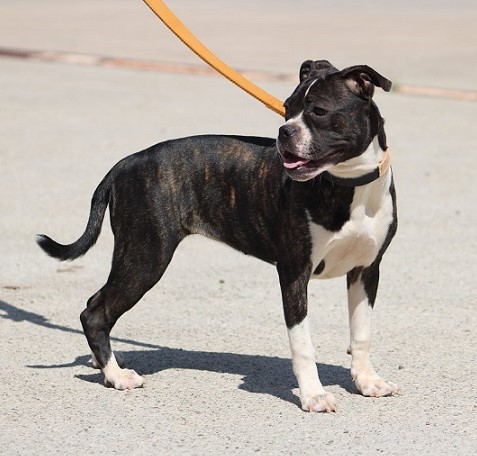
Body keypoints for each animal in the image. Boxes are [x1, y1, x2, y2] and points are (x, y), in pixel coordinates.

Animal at [37, 60, 398, 412]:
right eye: (287, 109)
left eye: (319, 111)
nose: (284, 131)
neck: (348, 185)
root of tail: (123, 165)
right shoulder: (295, 272)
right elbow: (303, 343)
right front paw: (313, 395)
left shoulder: (366, 271)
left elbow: (361, 332)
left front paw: (368, 381)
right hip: (144, 257)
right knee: (95, 312)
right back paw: (116, 375)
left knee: (96, 306)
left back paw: (104, 362)